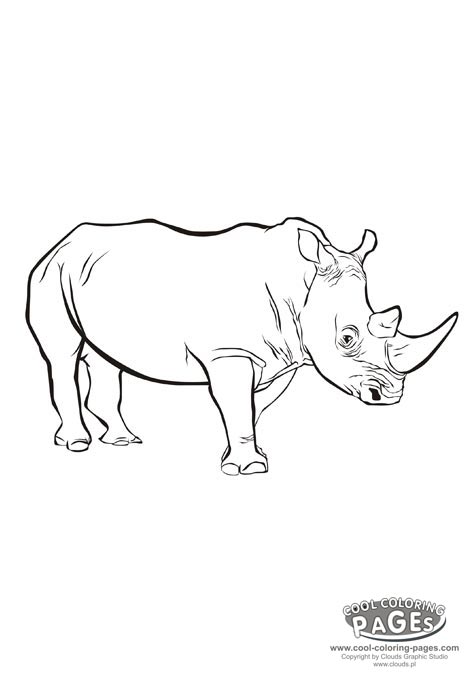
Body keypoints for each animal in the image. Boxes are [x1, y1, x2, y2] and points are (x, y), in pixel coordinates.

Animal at [26, 217, 457, 474]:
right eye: (347, 338)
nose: (390, 396)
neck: (301, 288)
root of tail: (61, 242)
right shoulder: (229, 353)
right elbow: (237, 406)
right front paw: (247, 469)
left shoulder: (283, 356)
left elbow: (253, 408)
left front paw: (245, 457)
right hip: (51, 274)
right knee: (62, 354)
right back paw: (76, 444)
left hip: (86, 279)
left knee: (106, 358)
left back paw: (122, 440)